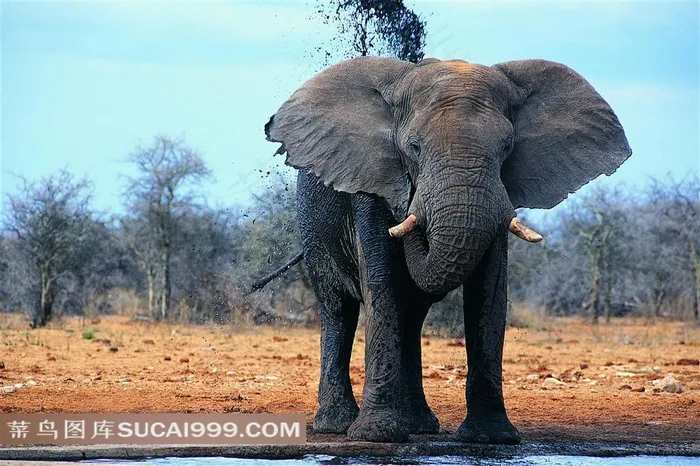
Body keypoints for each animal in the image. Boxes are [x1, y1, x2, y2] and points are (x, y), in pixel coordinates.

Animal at [259, 57, 631, 444]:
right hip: (312, 227)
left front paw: (491, 437)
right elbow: (382, 285)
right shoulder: (369, 186)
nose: (410, 201)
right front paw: (377, 435)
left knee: (412, 318)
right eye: (413, 147)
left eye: (507, 147)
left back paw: (420, 425)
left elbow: (488, 292)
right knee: (338, 311)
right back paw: (336, 425)